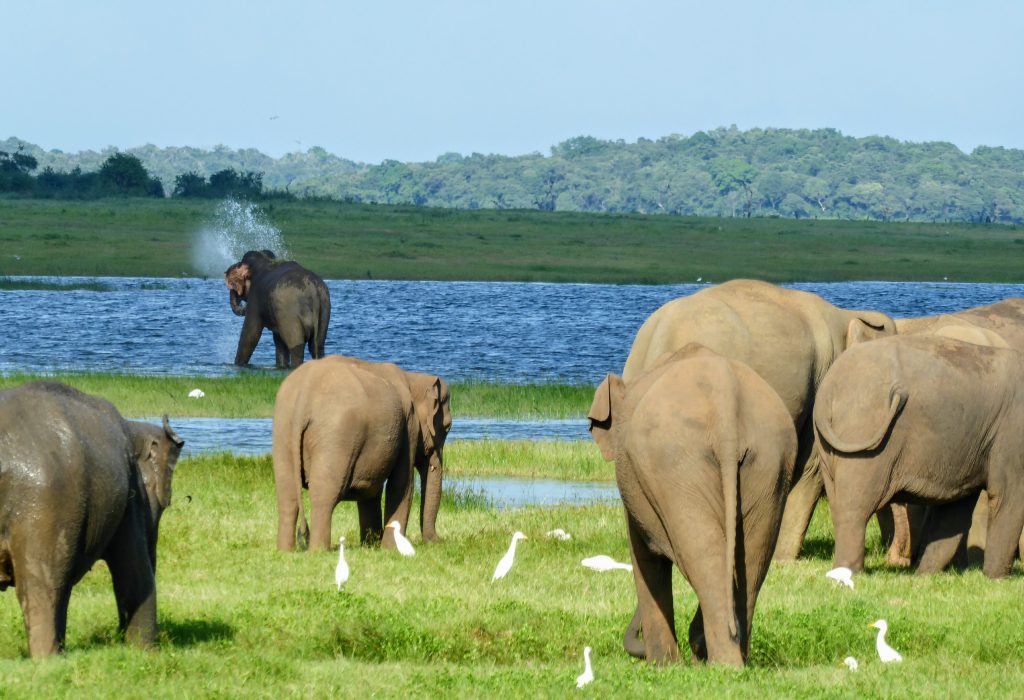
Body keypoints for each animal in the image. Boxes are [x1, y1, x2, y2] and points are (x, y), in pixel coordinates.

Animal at [0, 380, 184, 659]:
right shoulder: (131, 493)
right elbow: (134, 576)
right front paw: (145, 654)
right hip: (47, 502)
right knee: (41, 587)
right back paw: (47, 661)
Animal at [270, 356, 450, 552]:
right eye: (447, 427)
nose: (439, 541)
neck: (413, 378)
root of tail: (304, 396)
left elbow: (372, 489)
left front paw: (371, 545)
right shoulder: (409, 426)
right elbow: (401, 485)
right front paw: (391, 549)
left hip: (283, 430)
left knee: (287, 495)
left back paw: (285, 551)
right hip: (336, 438)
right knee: (324, 496)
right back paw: (317, 551)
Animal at [589, 343, 794, 667]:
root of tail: (725, 403)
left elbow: (644, 558)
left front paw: (663, 666)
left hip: (675, 467)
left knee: (701, 553)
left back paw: (722, 664)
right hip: (770, 463)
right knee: (750, 560)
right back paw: (728, 657)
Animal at [819, 335, 1024, 581]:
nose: (921, 573)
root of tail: (829, 388)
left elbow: (956, 509)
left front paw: (925, 575)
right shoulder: (1012, 436)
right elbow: (1008, 496)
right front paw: (997, 579)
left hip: (829, 448)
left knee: (838, 504)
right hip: (864, 435)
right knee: (856, 507)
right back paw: (848, 573)